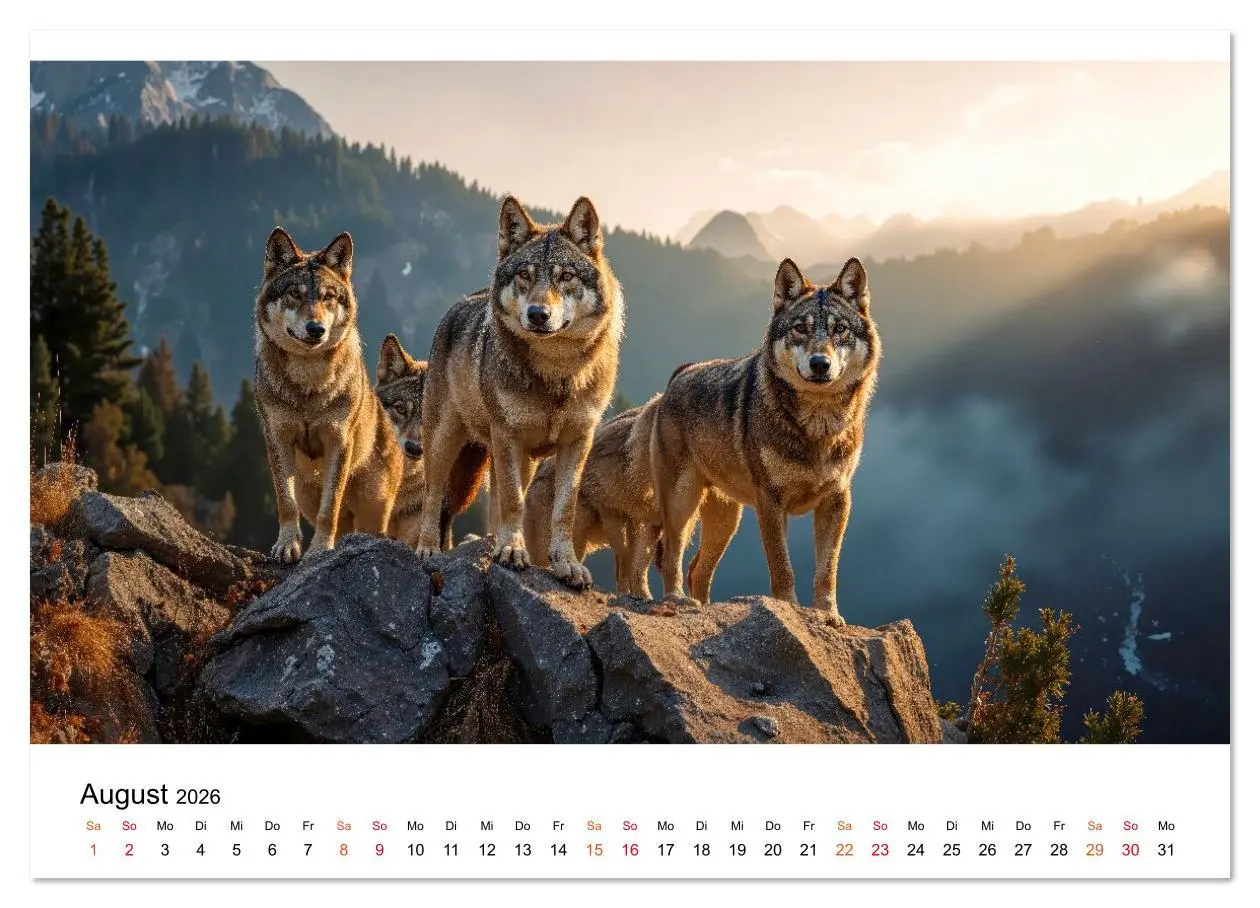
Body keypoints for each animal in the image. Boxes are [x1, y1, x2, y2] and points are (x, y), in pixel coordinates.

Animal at [254, 227, 403, 562]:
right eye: (295, 294)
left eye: (327, 297)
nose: (316, 329)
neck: (308, 385)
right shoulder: (277, 437)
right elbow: (285, 502)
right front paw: (287, 546)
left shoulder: (338, 440)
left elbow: (329, 508)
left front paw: (321, 550)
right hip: (310, 494)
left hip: (373, 510)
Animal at [414, 196, 625, 589]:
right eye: (525, 274)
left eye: (565, 276)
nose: (538, 314)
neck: (557, 371)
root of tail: (462, 301)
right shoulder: (508, 435)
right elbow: (514, 502)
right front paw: (512, 551)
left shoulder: (578, 441)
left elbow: (562, 510)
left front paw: (566, 563)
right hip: (444, 441)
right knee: (433, 496)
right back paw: (429, 547)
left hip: (519, 458)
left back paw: (493, 542)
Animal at [650, 257, 881, 623]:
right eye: (800, 328)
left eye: (840, 329)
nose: (820, 363)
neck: (817, 426)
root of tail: (680, 373)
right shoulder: (771, 501)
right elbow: (782, 566)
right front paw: (788, 610)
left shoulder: (837, 499)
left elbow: (827, 569)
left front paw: (828, 615)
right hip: (681, 502)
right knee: (672, 557)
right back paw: (677, 602)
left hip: (726, 520)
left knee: (697, 569)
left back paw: (704, 608)